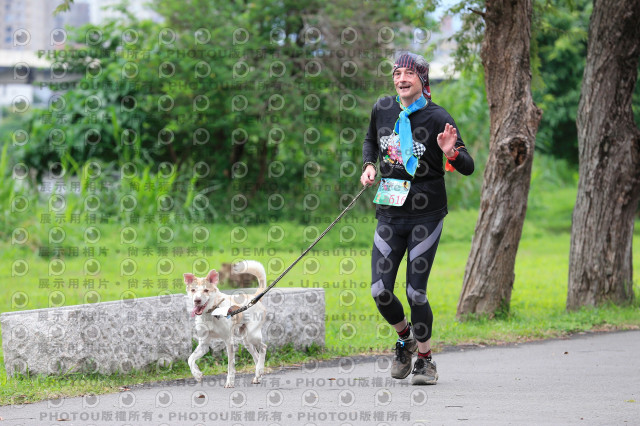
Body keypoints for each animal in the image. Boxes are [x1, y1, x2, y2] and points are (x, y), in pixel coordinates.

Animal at [182, 258, 268, 388]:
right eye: (193, 290)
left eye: (206, 290)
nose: (197, 300)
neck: (211, 313)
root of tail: (254, 297)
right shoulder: (203, 344)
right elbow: (190, 359)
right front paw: (197, 374)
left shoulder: (229, 341)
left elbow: (230, 366)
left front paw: (230, 382)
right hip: (246, 340)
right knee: (257, 356)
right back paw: (258, 374)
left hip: (252, 335)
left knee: (263, 348)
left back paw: (259, 370)